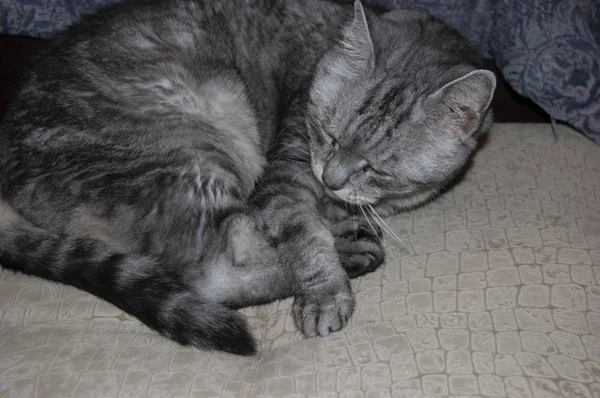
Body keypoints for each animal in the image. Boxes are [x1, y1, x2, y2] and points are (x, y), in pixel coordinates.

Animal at [0, 0, 496, 354]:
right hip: (192, 152)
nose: (331, 179)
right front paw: (324, 292)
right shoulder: (285, 174)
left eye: (376, 166)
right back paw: (351, 255)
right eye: (328, 134)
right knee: (212, 273)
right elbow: (303, 235)